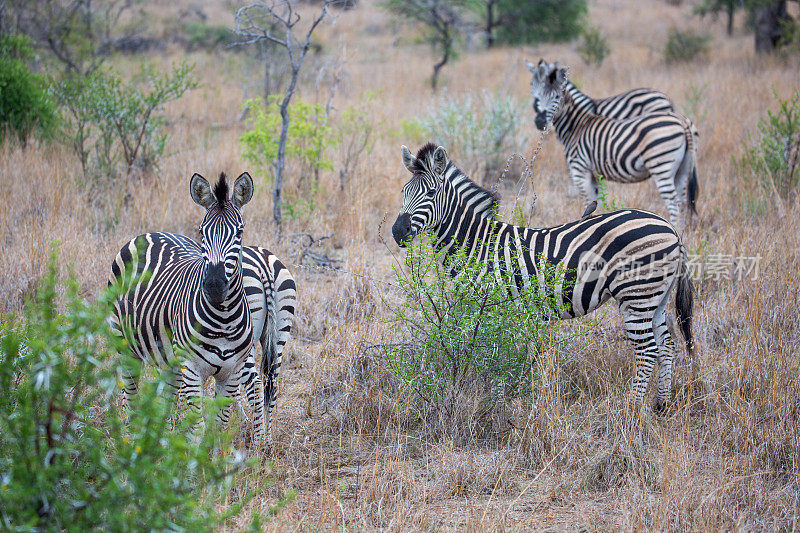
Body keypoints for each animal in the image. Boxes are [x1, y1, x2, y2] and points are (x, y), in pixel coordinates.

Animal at [110, 171, 296, 444]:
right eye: (202, 231)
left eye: (239, 231)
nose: (215, 286)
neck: (224, 318)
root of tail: (149, 234)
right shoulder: (192, 367)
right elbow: (200, 427)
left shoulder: (226, 368)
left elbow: (214, 423)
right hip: (123, 342)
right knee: (130, 391)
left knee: (260, 383)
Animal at [392, 143, 692, 410]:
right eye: (404, 191)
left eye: (431, 192)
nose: (397, 231)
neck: (476, 243)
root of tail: (671, 228)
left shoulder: (489, 305)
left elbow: (489, 351)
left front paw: (493, 398)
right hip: (656, 297)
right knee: (667, 346)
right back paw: (661, 404)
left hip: (636, 295)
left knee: (647, 351)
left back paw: (631, 410)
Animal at [528, 59, 696, 228]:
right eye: (536, 94)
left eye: (556, 97)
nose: (539, 121)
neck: (576, 126)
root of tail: (682, 122)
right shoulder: (592, 174)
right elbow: (595, 201)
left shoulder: (580, 170)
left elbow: (586, 201)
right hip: (682, 169)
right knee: (683, 202)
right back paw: (682, 231)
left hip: (662, 166)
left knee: (674, 204)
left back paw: (674, 227)